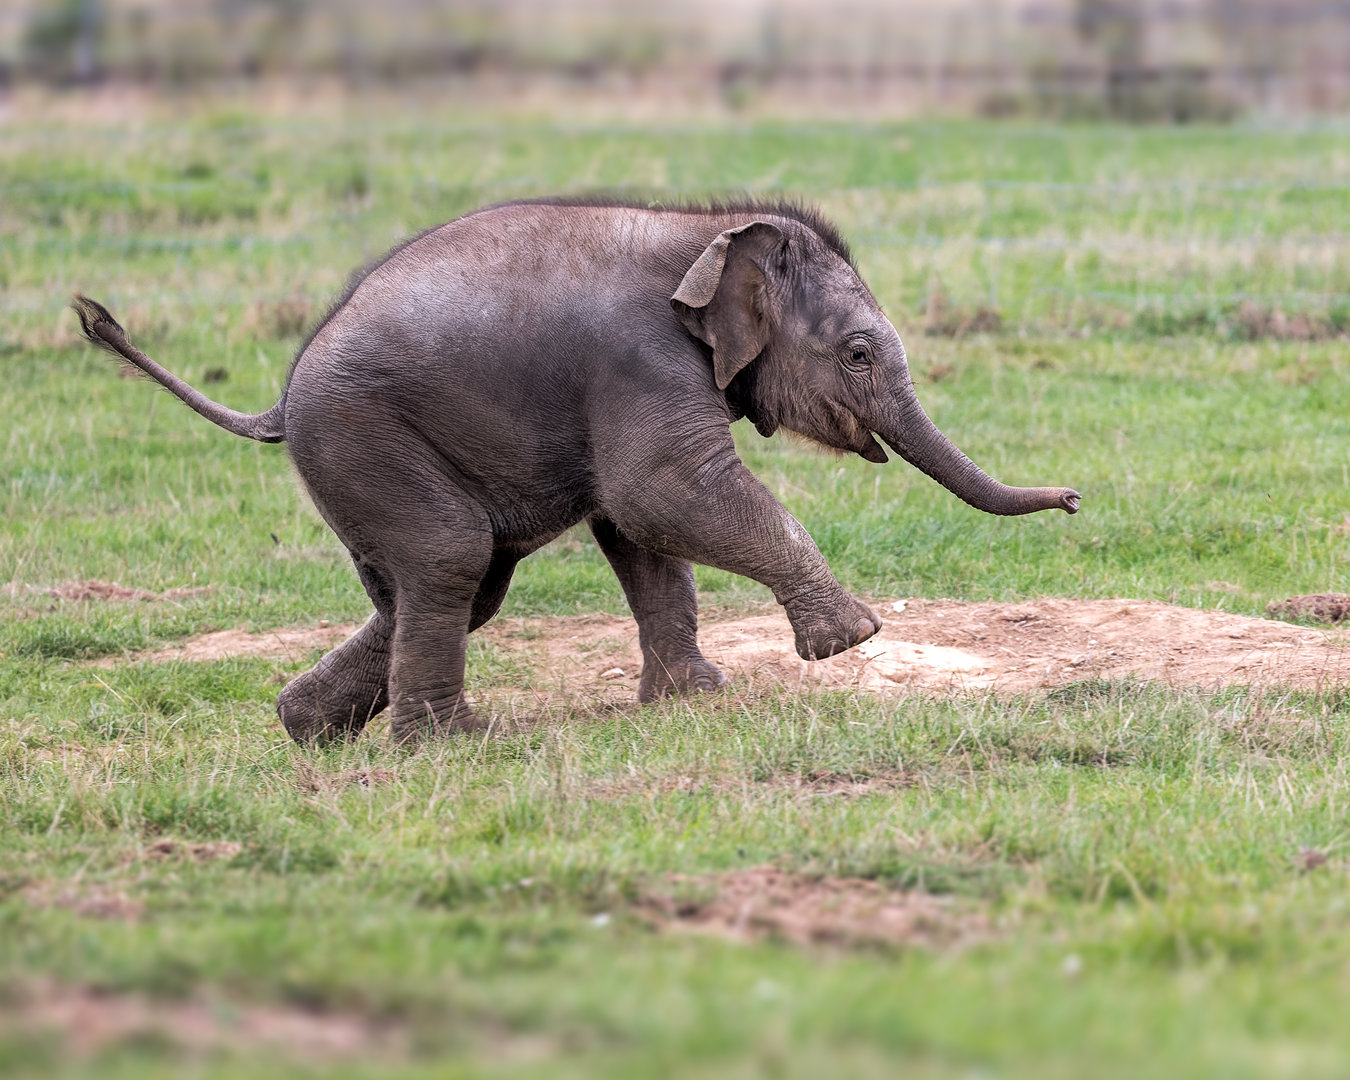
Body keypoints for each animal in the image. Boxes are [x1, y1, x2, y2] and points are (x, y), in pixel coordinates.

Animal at [74, 197, 1079, 744]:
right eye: (861, 354)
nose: (1074, 498)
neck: (707, 230)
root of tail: (279, 402)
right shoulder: (638, 359)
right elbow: (660, 491)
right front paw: (853, 639)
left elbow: (636, 527)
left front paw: (696, 702)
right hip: (363, 438)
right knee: (452, 558)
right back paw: (451, 744)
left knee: (453, 584)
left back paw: (307, 728)